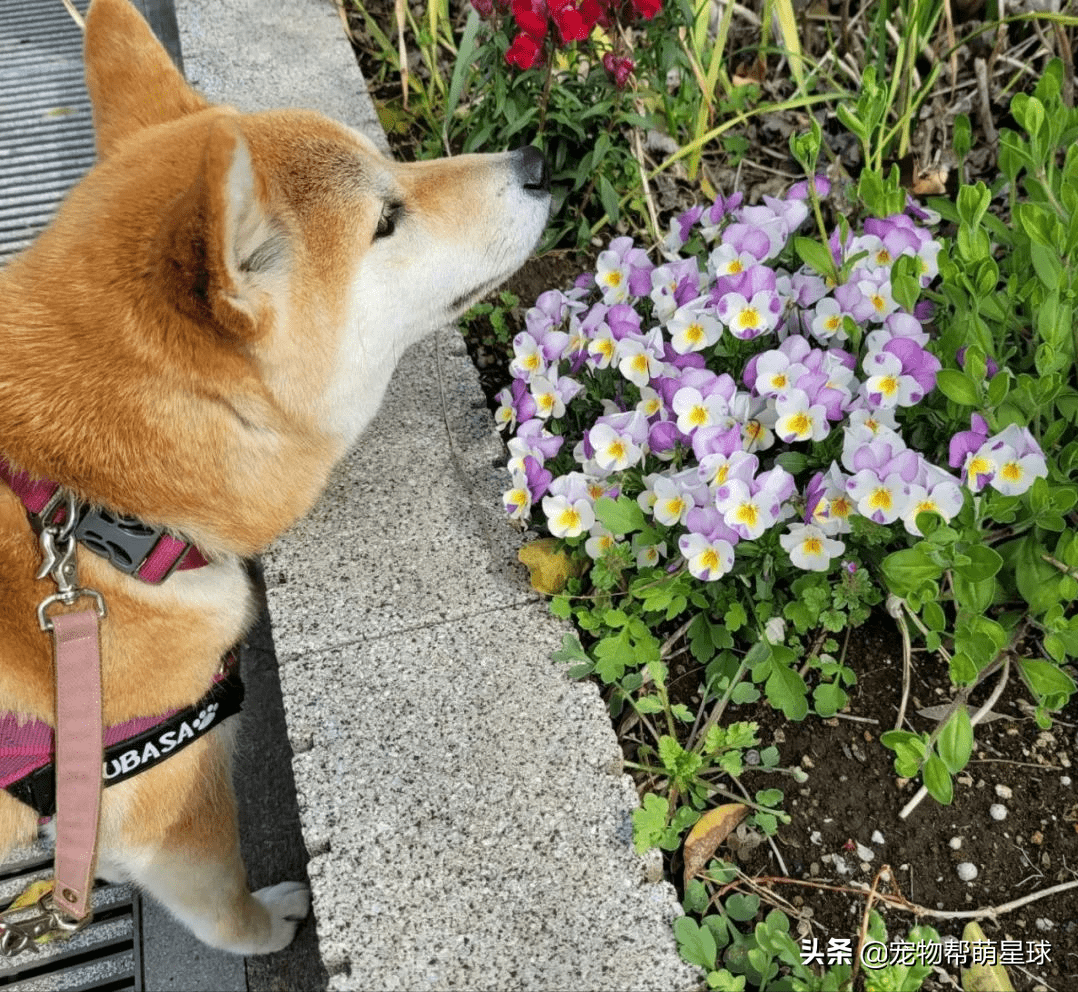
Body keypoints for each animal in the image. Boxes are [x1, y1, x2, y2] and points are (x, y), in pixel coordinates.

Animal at [0, 0, 547, 953]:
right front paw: (271, 924)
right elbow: (220, 898)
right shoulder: (155, 793)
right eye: (385, 220)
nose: (538, 161)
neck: (92, 507)